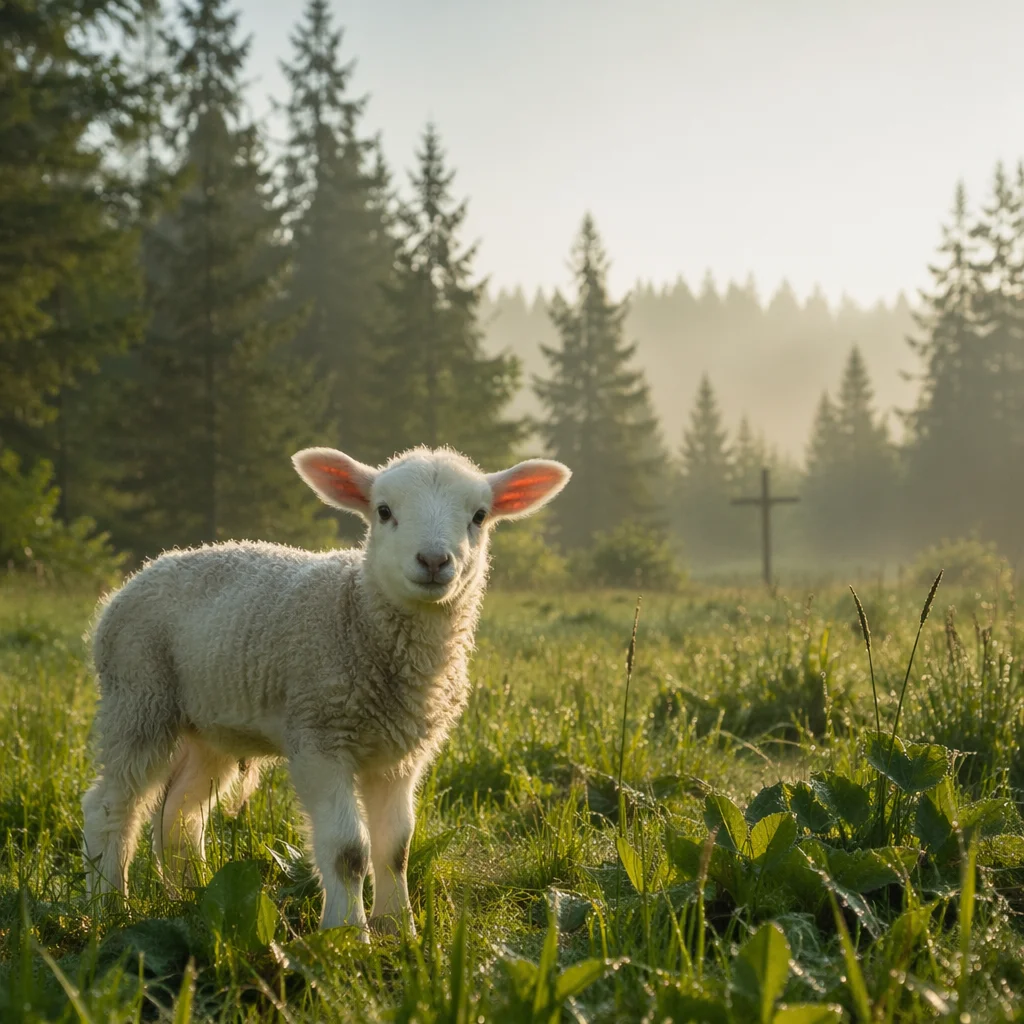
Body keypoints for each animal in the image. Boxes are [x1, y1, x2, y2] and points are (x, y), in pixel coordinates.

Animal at [81, 445, 570, 936]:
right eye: (384, 511)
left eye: (479, 515)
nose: (434, 561)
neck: (359, 613)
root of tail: (142, 573)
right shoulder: (320, 737)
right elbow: (348, 851)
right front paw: (348, 933)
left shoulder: (400, 756)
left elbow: (396, 848)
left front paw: (400, 930)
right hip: (138, 695)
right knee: (109, 806)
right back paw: (109, 905)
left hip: (210, 725)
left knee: (180, 813)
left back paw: (194, 898)